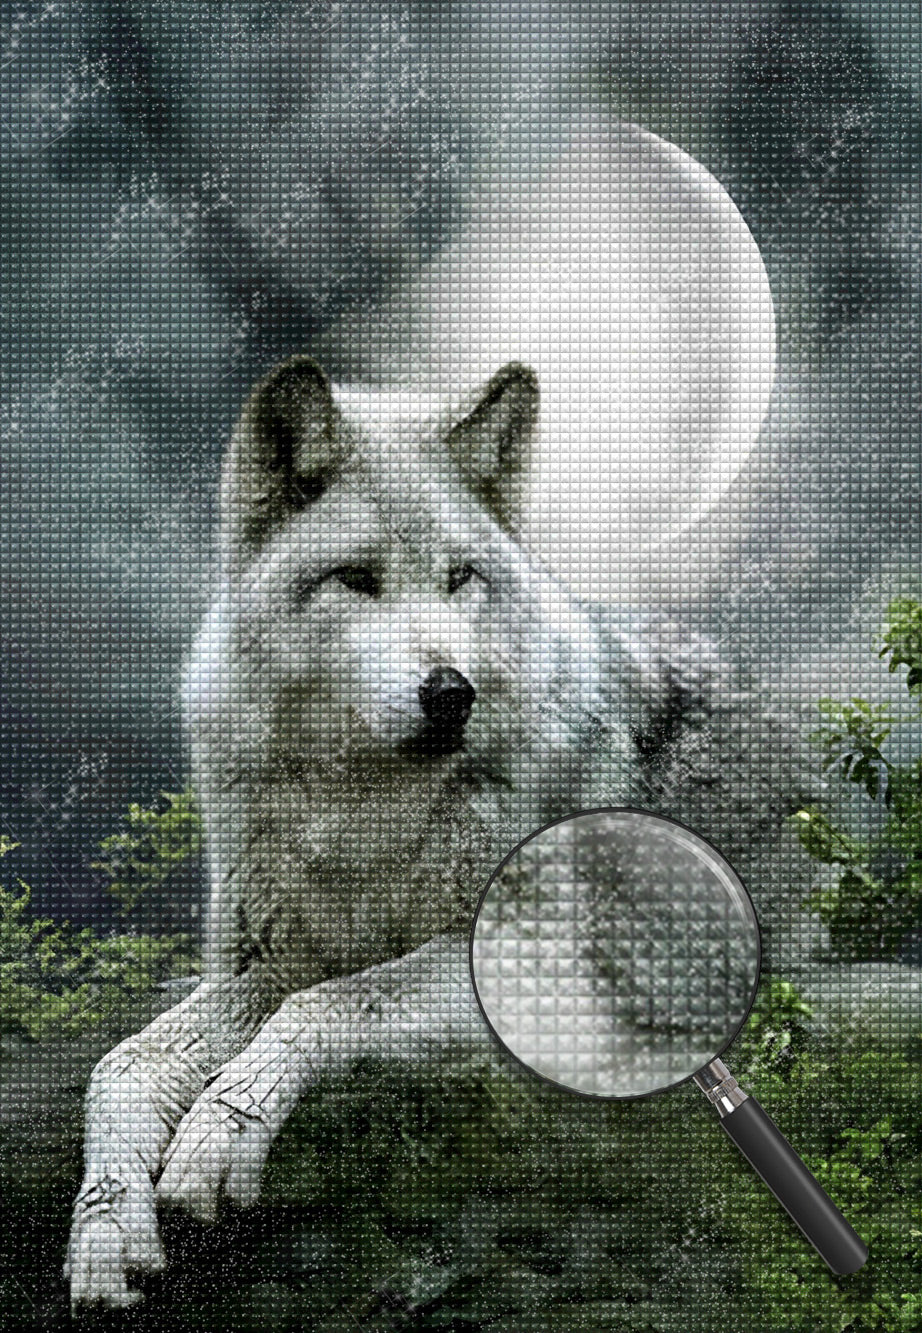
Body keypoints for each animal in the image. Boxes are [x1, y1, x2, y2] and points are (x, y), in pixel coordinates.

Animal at [66, 354, 810, 1311]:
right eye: (357, 578)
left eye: (460, 577)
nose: (454, 692)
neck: (361, 811)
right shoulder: (258, 965)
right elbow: (120, 1066)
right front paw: (104, 1227)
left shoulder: (524, 965)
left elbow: (330, 1003)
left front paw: (216, 1135)